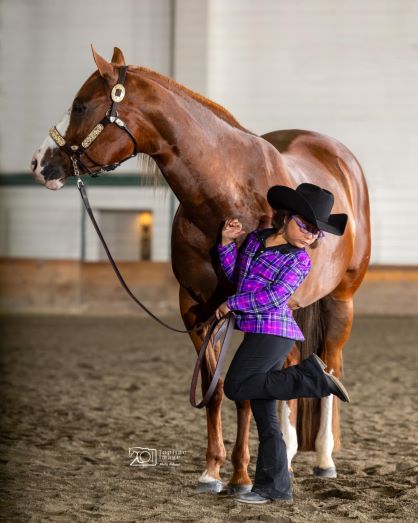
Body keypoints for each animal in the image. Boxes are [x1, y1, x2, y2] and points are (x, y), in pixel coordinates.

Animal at [33, 47, 372, 494]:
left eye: (80, 105)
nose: (39, 163)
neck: (227, 195)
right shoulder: (196, 310)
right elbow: (214, 390)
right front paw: (212, 472)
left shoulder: (244, 312)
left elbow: (244, 391)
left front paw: (242, 477)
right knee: (292, 362)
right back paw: (287, 451)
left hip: (340, 300)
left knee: (329, 366)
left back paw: (323, 459)